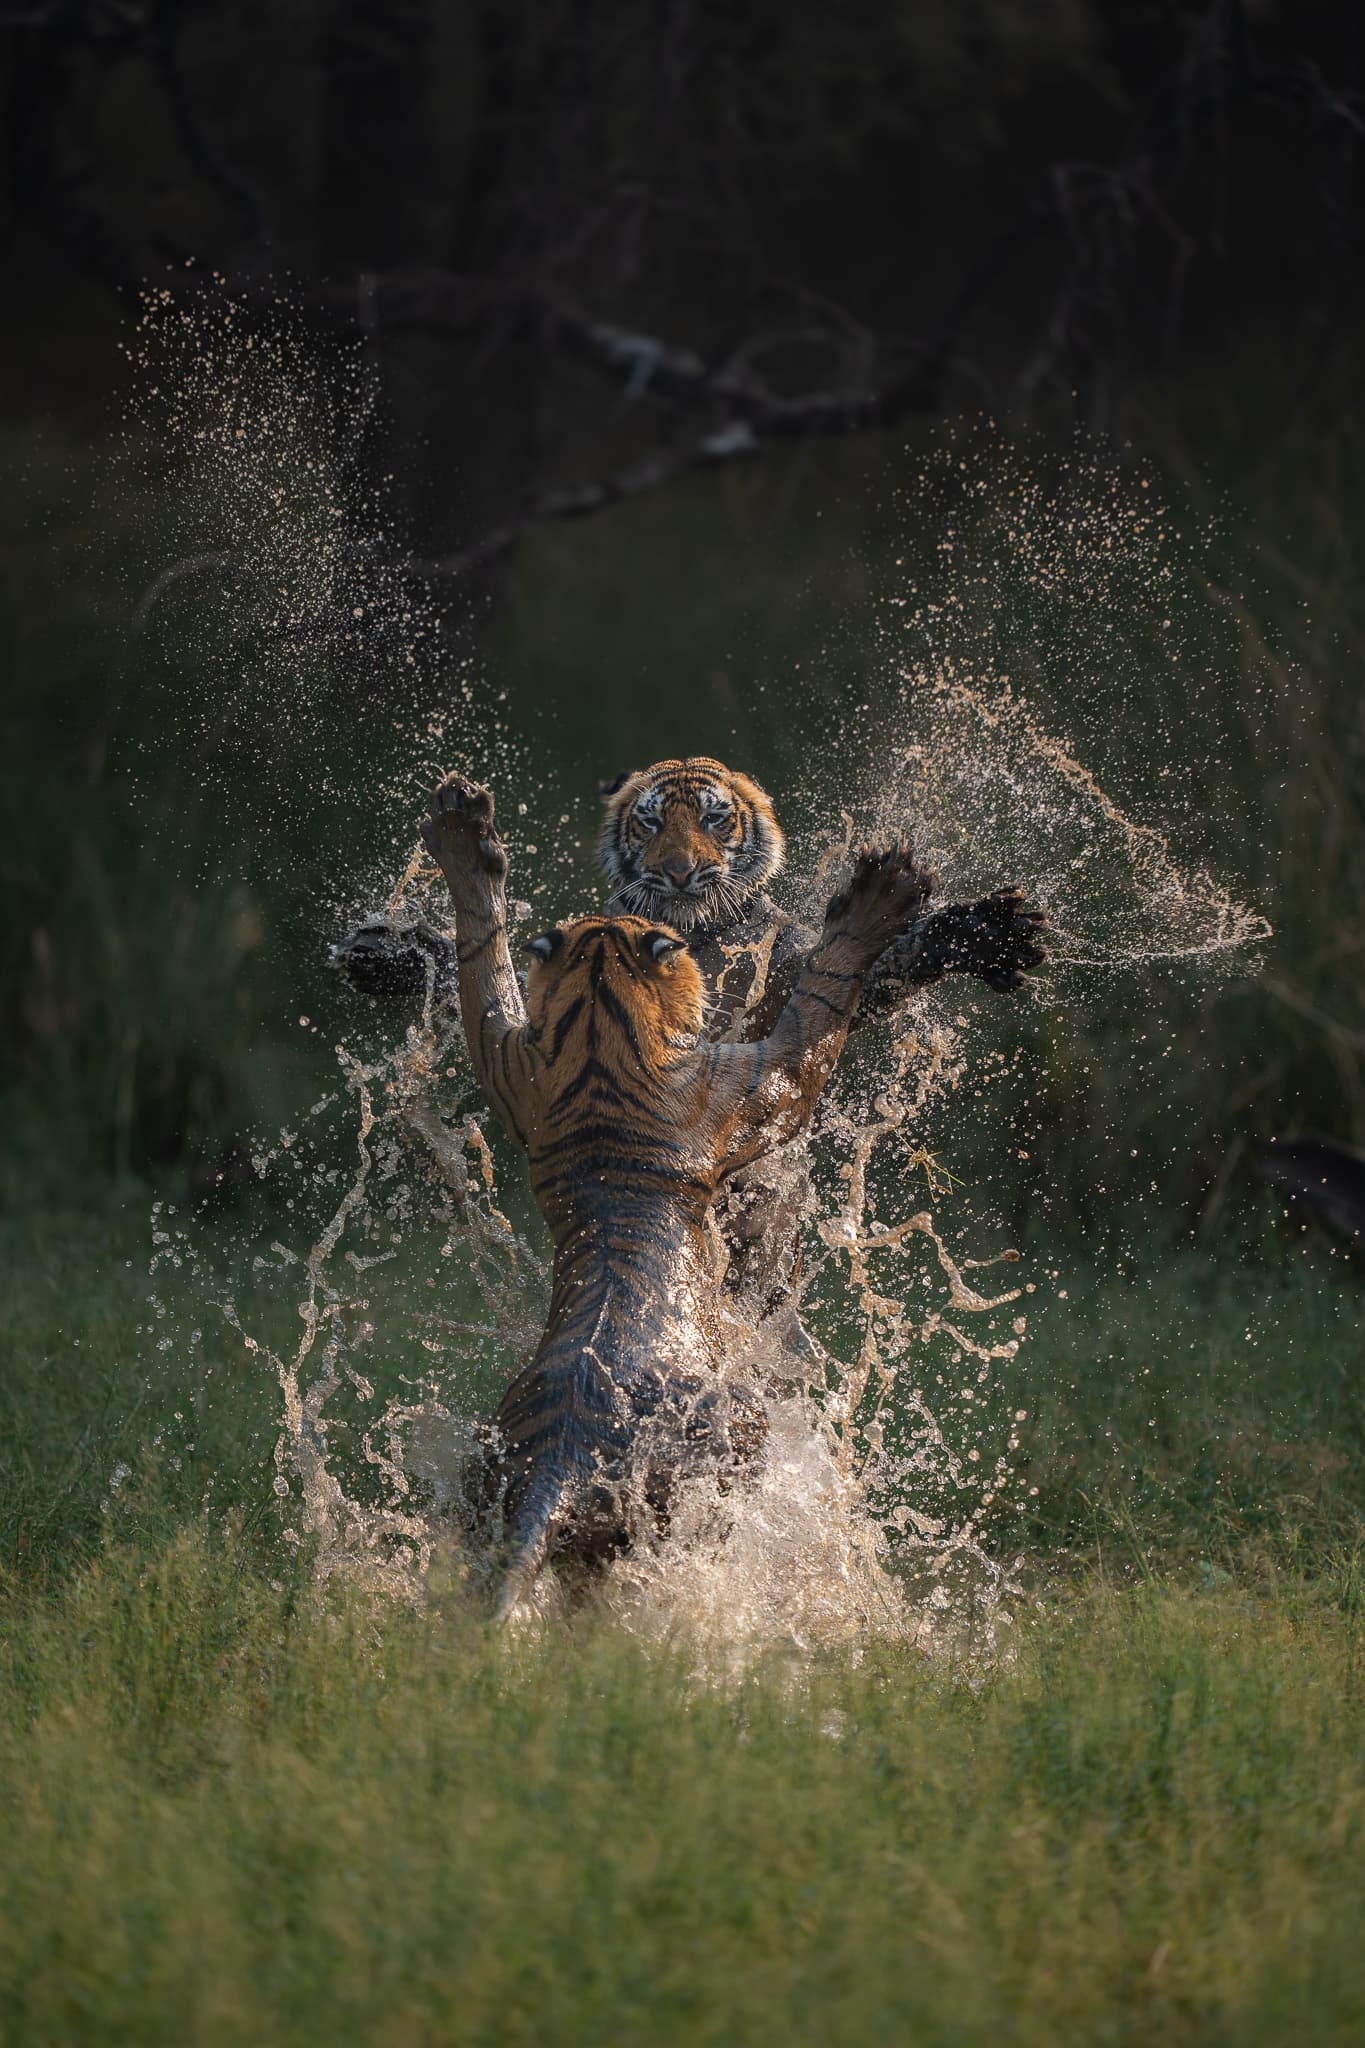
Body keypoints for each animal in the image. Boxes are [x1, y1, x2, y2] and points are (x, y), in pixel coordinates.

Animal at [419, 772, 933, 1619]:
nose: (672, 895)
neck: (597, 1035)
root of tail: (561, 1460)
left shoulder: (513, 1067)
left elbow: (481, 970)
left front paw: (467, 840)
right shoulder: (754, 1086)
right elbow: (818, 1010)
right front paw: (877, 897)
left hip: (486, 1479)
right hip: (729, 1440)